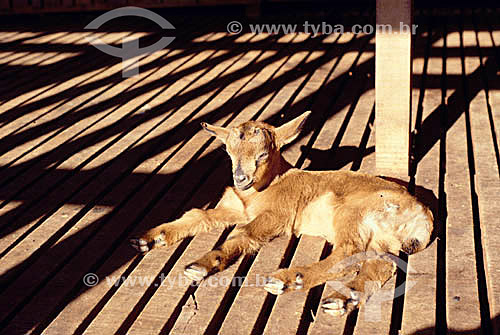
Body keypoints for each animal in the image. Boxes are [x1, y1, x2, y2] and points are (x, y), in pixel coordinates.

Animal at [131, 112, 432, 318]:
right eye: (228, 151)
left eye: (263, 154)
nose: (240, 178)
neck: (260, 190)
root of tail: (422, 216)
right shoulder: (233, 208)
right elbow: (198, 215)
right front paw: (147, 238)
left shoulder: (277, 215)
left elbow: (245, 234)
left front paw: (201, 265)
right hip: (383, 239)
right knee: (379, 264)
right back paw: (342, 300)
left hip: (351, 213)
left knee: (349, 251)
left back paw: (289, 279)